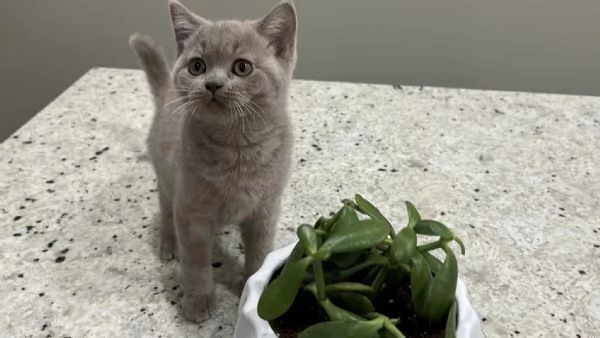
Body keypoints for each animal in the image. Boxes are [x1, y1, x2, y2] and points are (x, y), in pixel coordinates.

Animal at [128, 0, 296, 322]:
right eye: (197, 66)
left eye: (242, 67)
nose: (213, 84)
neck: (236, 150)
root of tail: (167, 93)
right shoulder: (190, 213)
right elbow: (196, 264)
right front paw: (199, 301)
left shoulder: (266, 208)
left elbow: (260, 252)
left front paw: (253, 286)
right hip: (166, 179)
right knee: (166, 210)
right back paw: (168, 242)